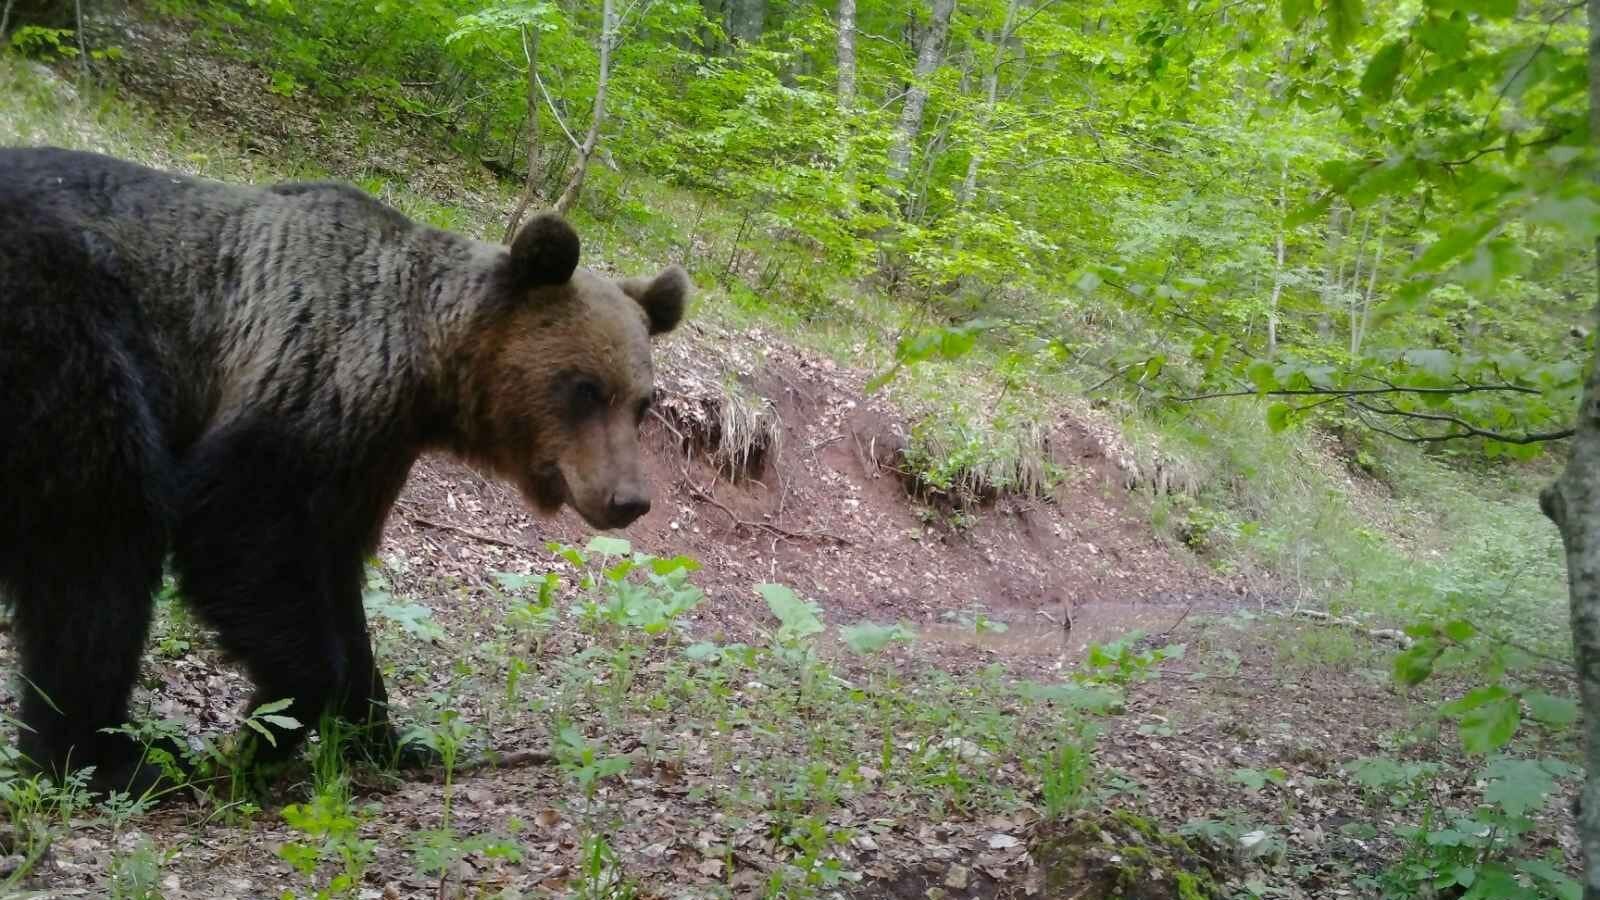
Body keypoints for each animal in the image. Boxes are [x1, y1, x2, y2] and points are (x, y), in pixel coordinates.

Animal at [0, 145, 688, 791]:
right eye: (585, 388)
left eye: (641, 402)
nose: (629, 499)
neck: (425, 369)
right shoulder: (308, 374)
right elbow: (236, 522)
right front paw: (274, 721)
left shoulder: (368, 456)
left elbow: (336, 578)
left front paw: (384, 737)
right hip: (63, 332)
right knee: (103, 533)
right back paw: (106, 760)